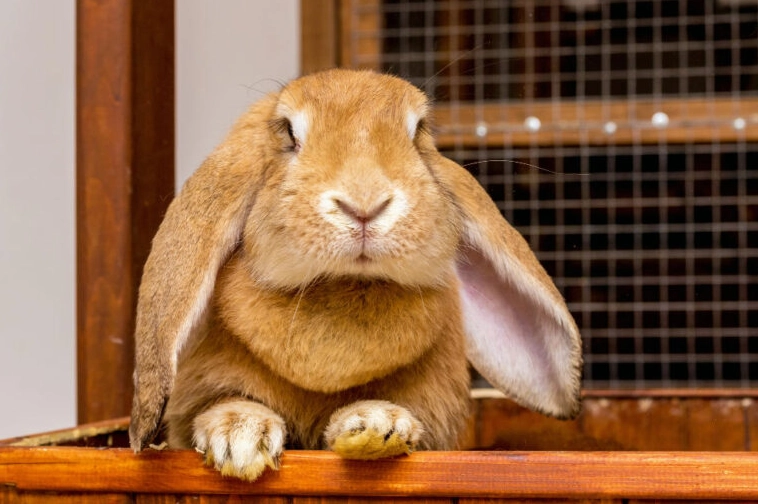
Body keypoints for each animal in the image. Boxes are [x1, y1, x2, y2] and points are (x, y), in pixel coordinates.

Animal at [129, 68, 583, 482]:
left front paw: (377, 426)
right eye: (289, 133)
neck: (343, 286)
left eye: (418, 131)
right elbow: (222, 405)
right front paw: (240, 439)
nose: (365, 204)